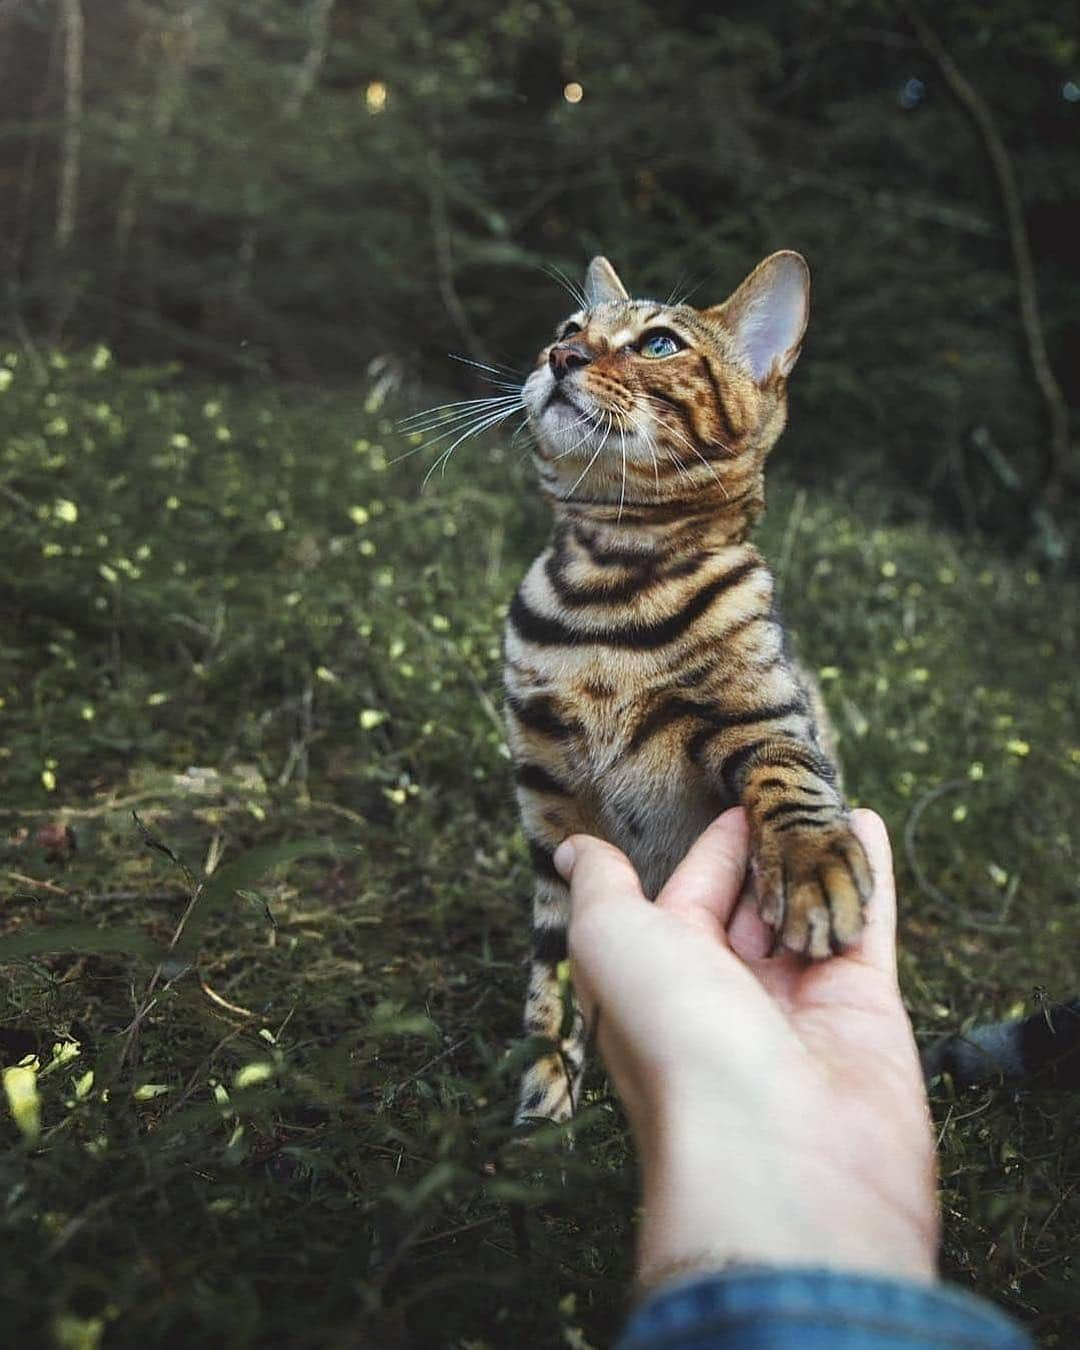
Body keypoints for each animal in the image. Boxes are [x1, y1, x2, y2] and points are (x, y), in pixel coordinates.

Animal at [502, 253, 874, 1128]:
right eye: (570, 328)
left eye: (660, 344)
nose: (559, 357)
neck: (609, 592)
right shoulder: (547, 801)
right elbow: (553, 967)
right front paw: (545, 1087)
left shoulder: (767, 719)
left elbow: (794, 785)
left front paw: (811, 861)